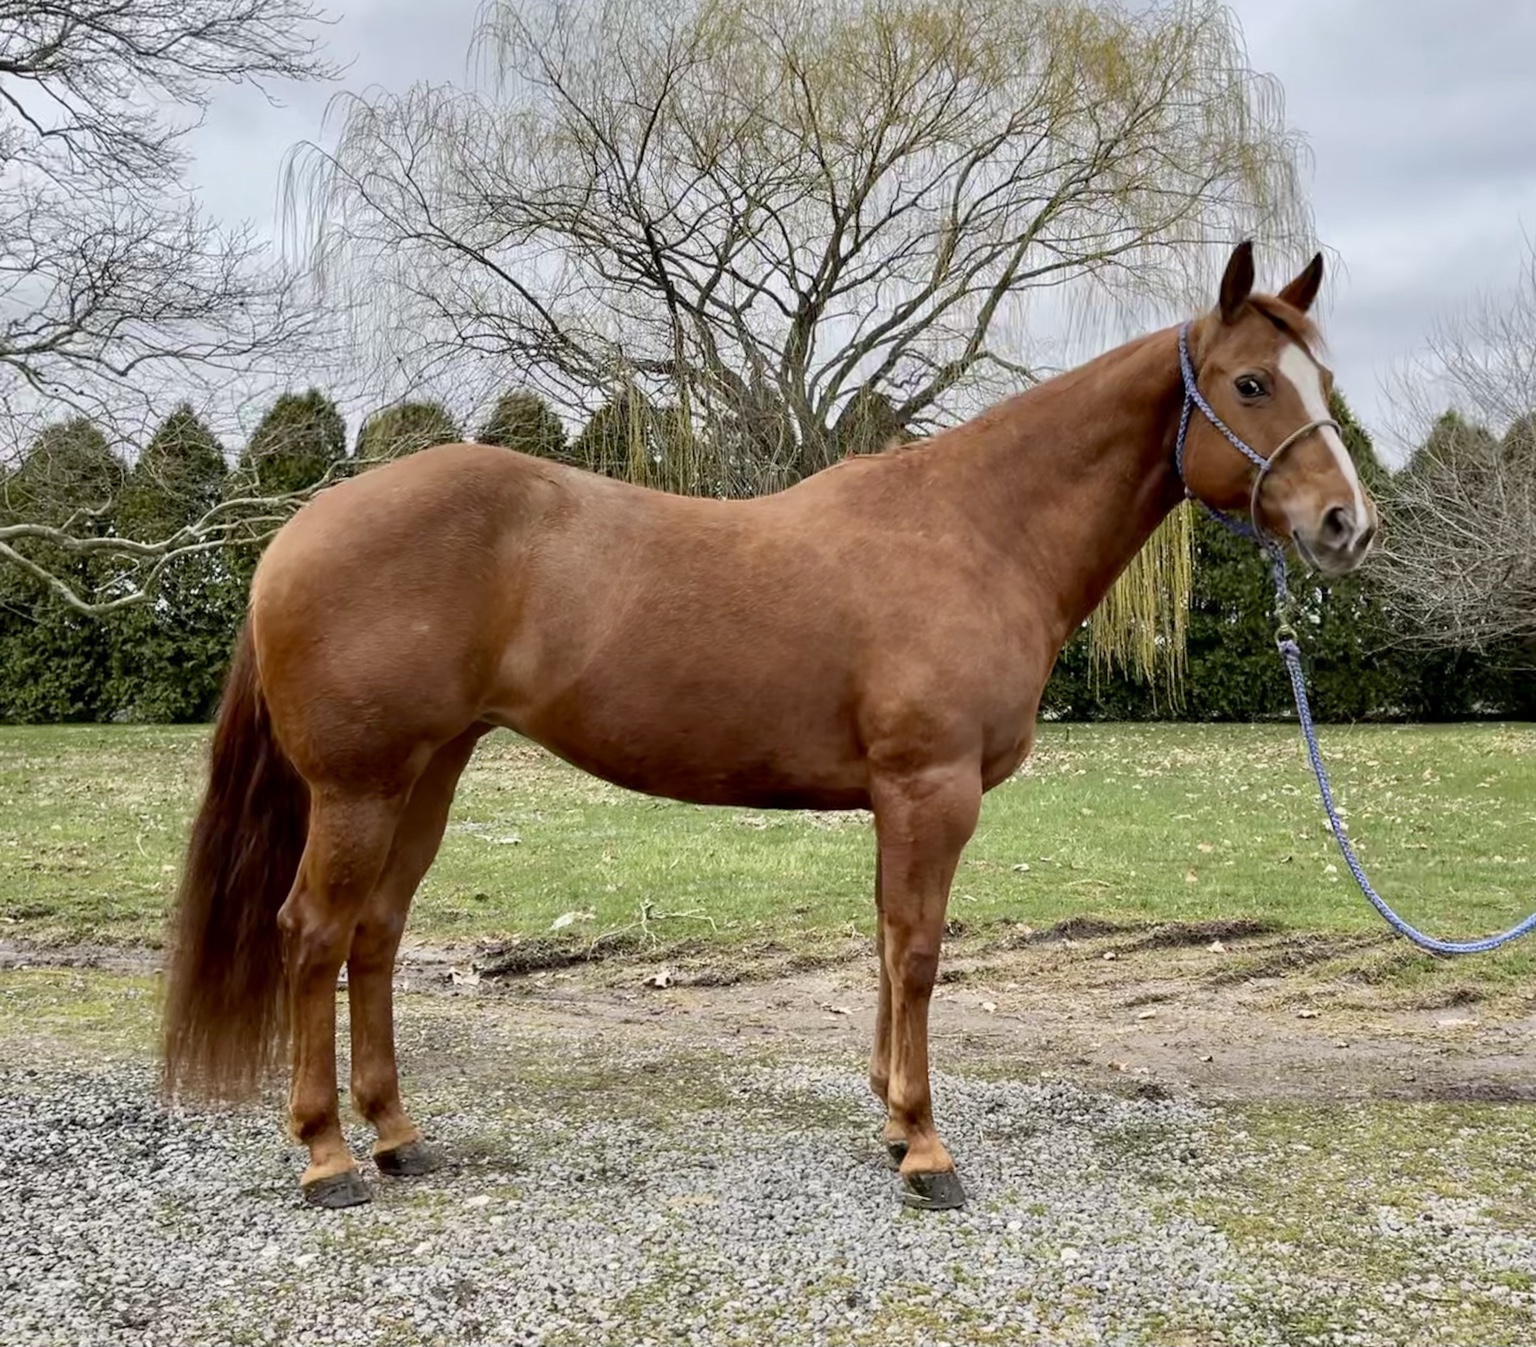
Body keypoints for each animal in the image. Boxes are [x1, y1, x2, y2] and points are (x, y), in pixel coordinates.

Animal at [161, 241, 1377, 1211]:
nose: (1346, 525)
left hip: (429, 775)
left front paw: (891, 1120)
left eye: (1323, 377)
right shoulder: (930, 788)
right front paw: (927, 1152)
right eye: (1251, 383)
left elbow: (887, 947)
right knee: (315, 933)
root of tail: (300, 529)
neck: (976, 531)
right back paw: (327, 1157)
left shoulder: (899, 799)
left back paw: (399, 1136)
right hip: (359, 787)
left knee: (376, 934)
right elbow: (919, 954)